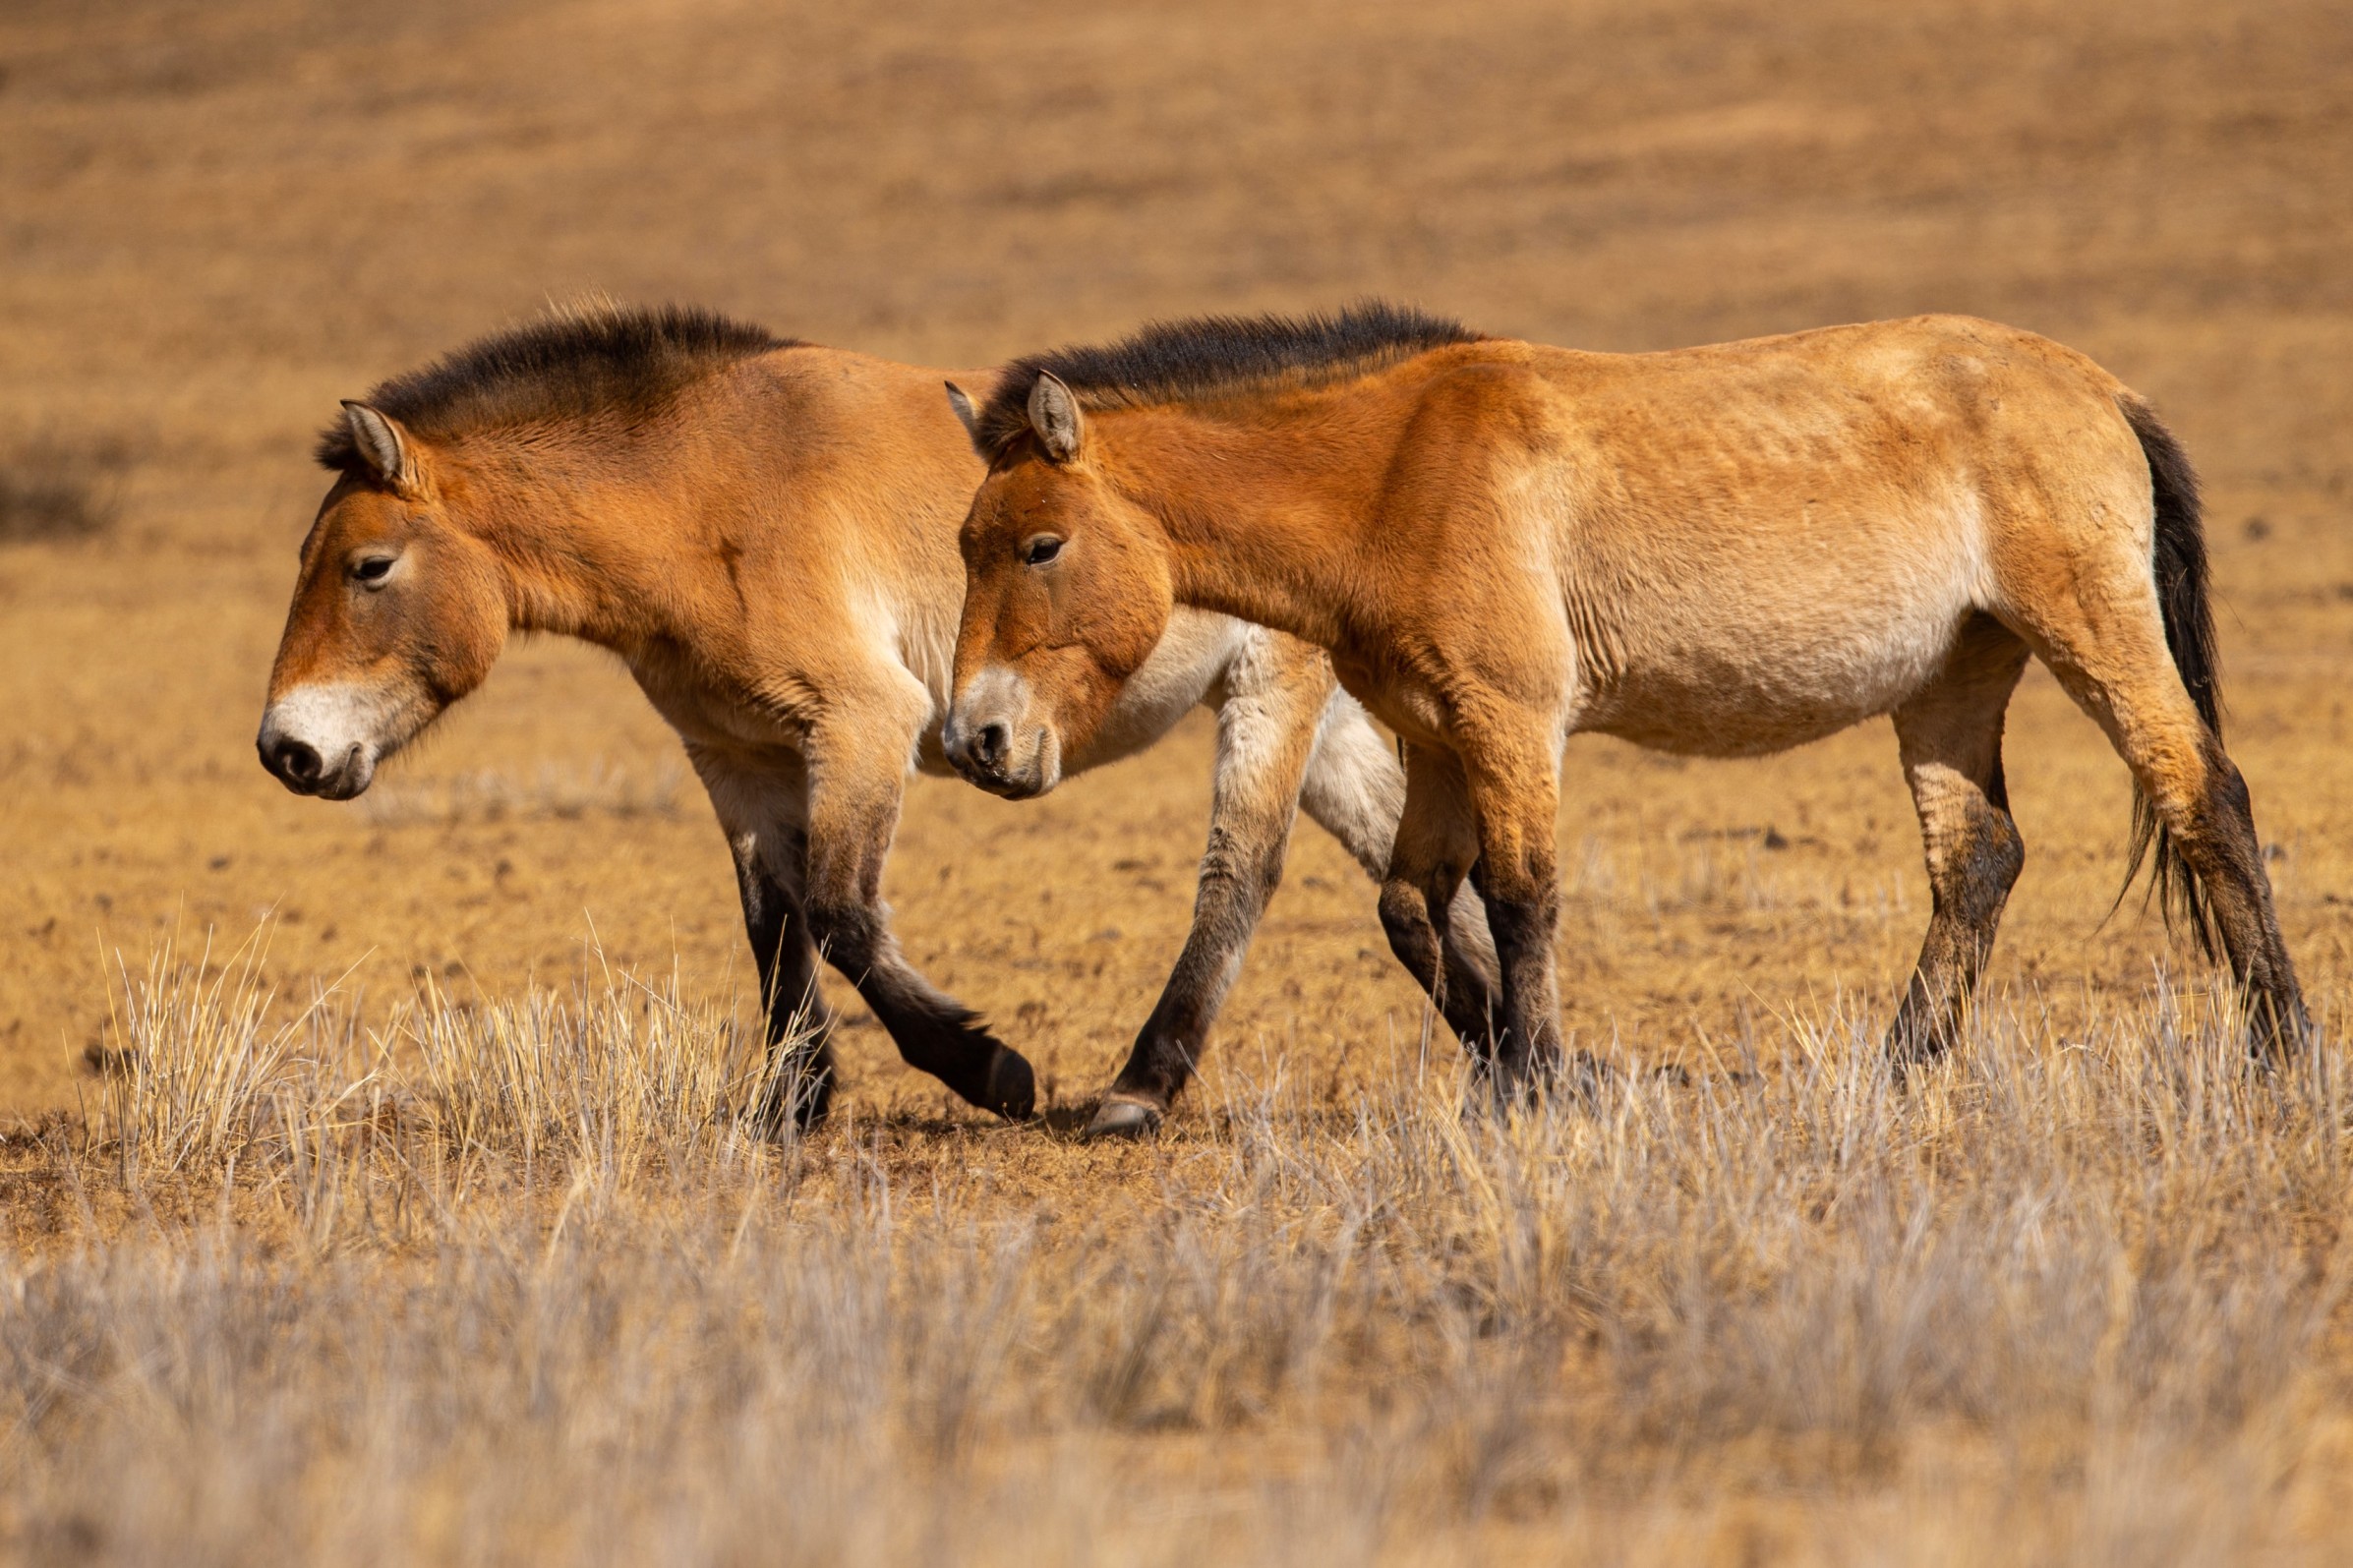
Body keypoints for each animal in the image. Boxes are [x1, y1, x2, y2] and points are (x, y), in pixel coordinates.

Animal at [257, 301, 1494, 1135]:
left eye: (368, 566)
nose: (286, 748)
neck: (704, 491)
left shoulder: (861, 725)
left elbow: (844, 911)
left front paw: (989, 1070)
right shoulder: (735, 756)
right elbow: (775, 923)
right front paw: (792, 1104)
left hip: (1270, 688)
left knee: (1241, 872)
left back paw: (1140, 1088)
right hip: (1327, 718)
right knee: (1417, 880)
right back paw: (1511, 1051)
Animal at [944, 302, 2308, 1096]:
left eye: (1041, 545)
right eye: (965, 542)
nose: (976, 736)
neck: (1395, 470)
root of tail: (2104, 389)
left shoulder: (1510, 721)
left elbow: (1520, 897)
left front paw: (1543, 1084)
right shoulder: (1440, 736)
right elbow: (1412, 906)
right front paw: (1525, 1071)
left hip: (2091, 633)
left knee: (2202, 797)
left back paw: (2282, 1051)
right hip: (1953, 675)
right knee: (1976, 857)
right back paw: (1896, 1072)